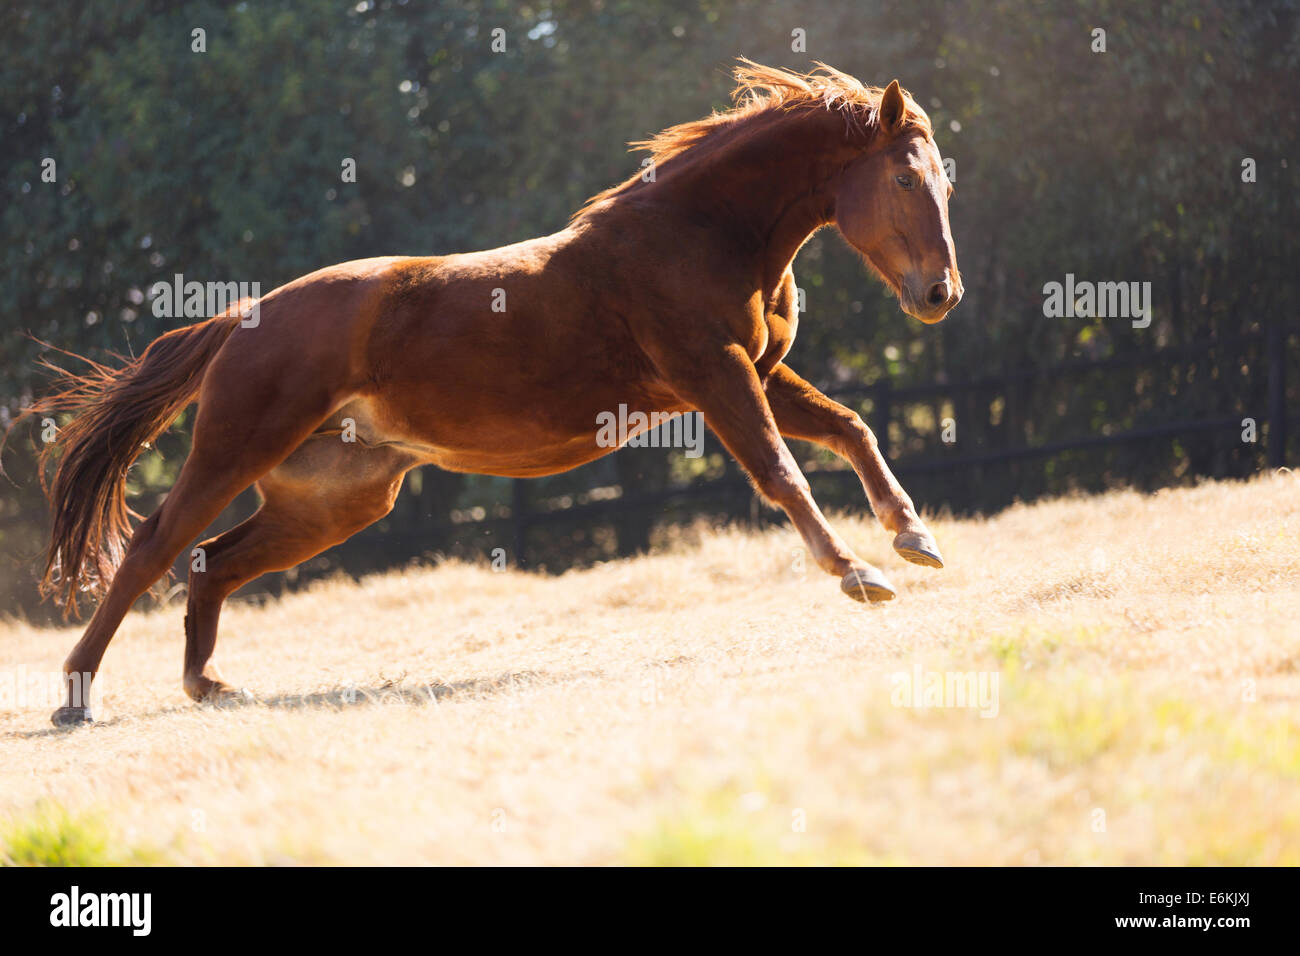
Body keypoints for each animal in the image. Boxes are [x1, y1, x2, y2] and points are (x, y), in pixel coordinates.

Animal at [25, 63, 956, 728]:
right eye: (906, 182)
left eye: (945, 182)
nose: (940, 295)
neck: (693, 229)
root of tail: (242, 318)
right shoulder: (714, 374)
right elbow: (781, 472)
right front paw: (858, 573)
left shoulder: (757, 373)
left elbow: (851, 427)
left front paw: (914, 536)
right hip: (236, 447)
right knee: (153, 548)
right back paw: (77, 698)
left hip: (335, 500)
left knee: (212, 561)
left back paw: (211, 685)